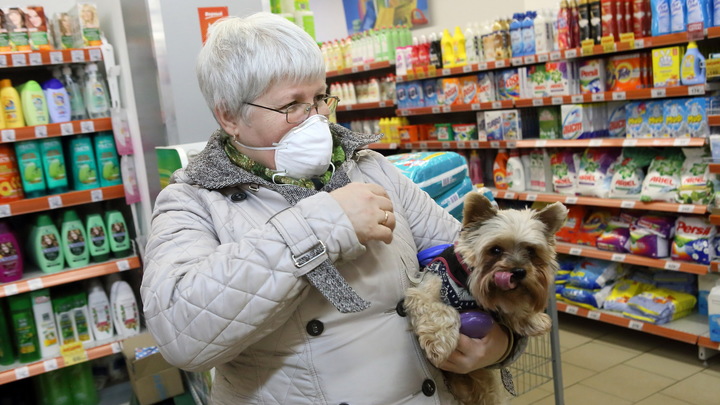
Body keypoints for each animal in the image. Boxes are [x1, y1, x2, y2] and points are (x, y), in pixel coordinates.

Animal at [404, 193, 568, 404]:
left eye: (531, 251)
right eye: (495, 250)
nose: (519, 271)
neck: (467, 287)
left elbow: (510, 306)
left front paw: (532, 318)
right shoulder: (424, 290)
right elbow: (439, 311)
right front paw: (439, 343)